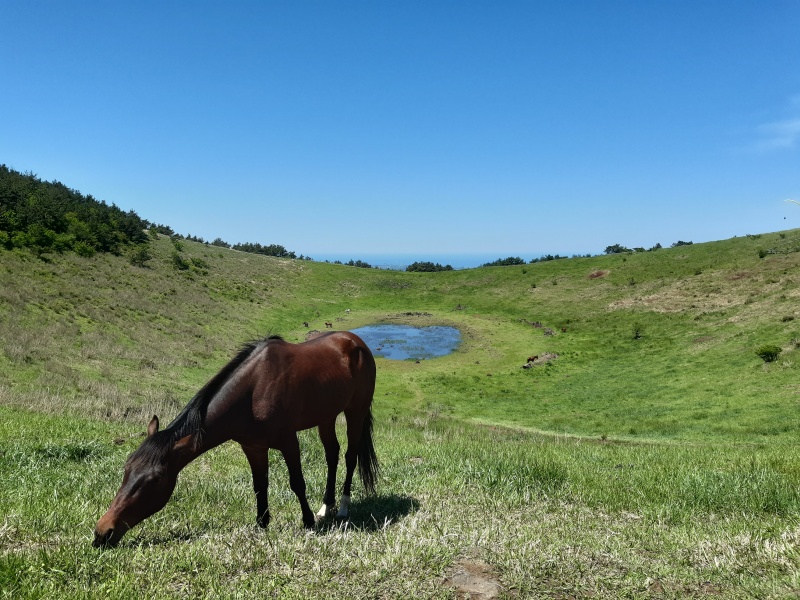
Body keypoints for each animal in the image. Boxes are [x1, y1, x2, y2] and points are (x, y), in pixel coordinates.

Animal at [92, 332, 380, 548]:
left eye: (154, 480)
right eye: (127, 468)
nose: (102, 533)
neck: (253, 392)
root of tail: (355, 341)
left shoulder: (288, 441)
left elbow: (297, 482)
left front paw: (308, 522)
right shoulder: (253, 447)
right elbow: (259, 485)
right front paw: (262, 524)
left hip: (355, 411)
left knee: (350, 456)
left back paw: (342, 508)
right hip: (326, 416)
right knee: (332, 454)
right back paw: (325, 507)